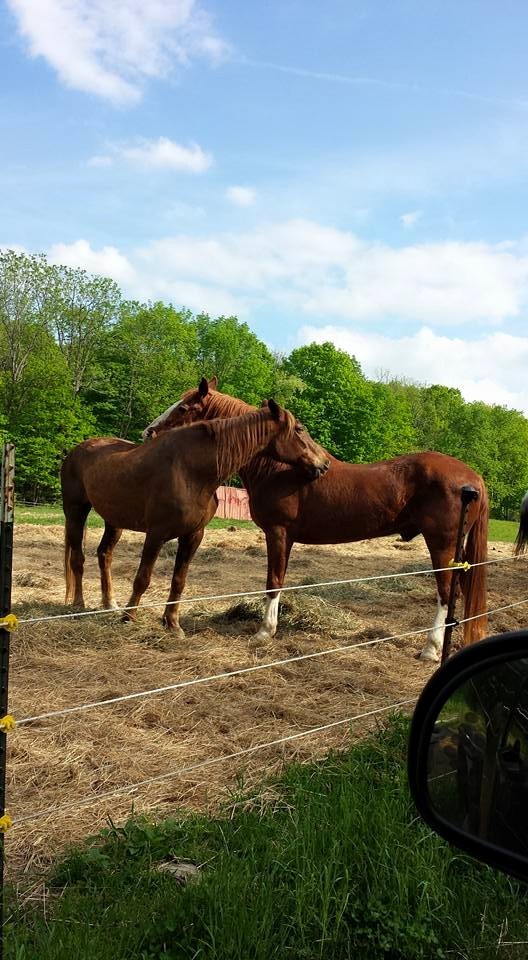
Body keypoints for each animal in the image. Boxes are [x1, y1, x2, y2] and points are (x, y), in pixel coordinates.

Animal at [61, 399, 329, 636]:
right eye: (299, 429)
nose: (324, 463)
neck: (191, 471)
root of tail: (77, 450)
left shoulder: (193, 536)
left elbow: (179, 580)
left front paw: (172, 624)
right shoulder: (156, 534)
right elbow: (143, 578)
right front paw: (129, 617)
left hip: (114, 521)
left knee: (104, 555)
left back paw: (109, 604)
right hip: (75, 511)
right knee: (77, 559)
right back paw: (79, 605)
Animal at [144, 377, 490, 661]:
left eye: (183, 407)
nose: (149, 431)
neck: (277, 469)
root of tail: (474, 479)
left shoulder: (278, 533)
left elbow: (273, 582)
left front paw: (264, 633)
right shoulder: (286, 537)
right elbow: (279, 580)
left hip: (442, 546)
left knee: (446, 594)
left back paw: (430, 650)